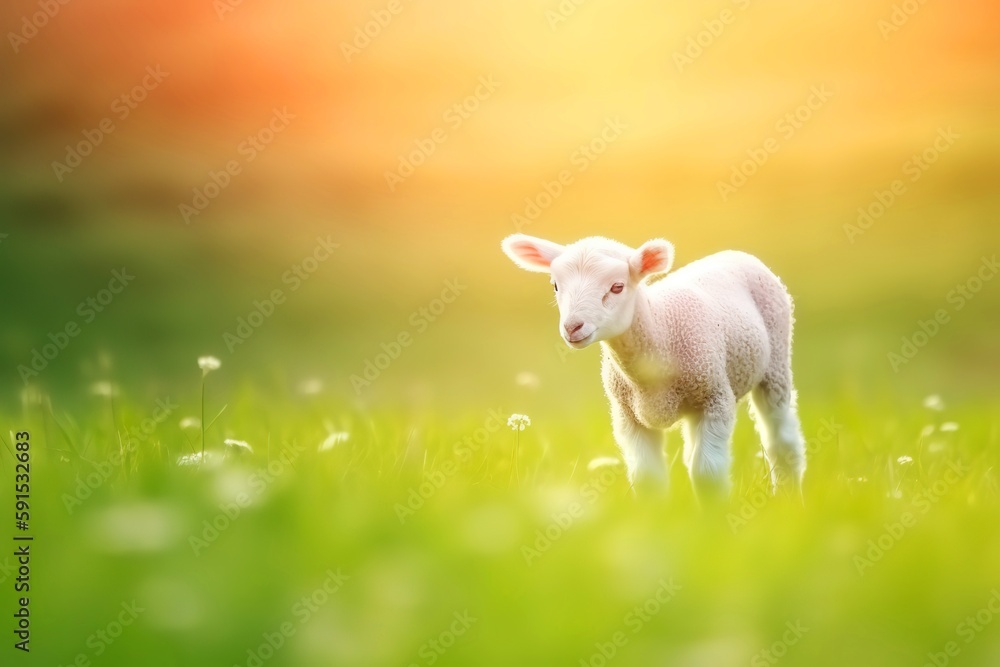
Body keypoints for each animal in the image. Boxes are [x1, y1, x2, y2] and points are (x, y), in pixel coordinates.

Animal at [500, 234, 806, 501]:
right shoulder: (628, 415)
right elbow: (648, 480)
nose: (572, 327)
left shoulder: (716, 398)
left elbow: (707, 474)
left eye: (617, 287)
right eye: (555, 285)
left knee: (782, 440)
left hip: (775, 362)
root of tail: (735, 253)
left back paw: (788, 496)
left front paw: (714, 520)